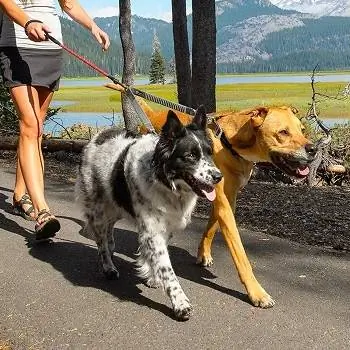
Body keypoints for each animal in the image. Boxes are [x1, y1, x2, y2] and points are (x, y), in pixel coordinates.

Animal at [76, 106, 223, 320]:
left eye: (209, 153)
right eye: (190, 156)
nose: (219, 177)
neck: (165, 182)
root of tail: (98, 136)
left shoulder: (164, 227)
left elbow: (155, 257)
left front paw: (152, 276)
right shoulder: (152, 229)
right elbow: (167, 269)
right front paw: (180, 303)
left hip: (116, 205)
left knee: (109, 231)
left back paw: (111, 248)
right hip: (99, 209)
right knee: (101, 240)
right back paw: (108, 267)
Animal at [106, 85, 314, 308]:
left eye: (302, 130)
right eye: (283, 132)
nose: (313, 149)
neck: (230, 143)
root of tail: (153, 114)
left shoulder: (225, 199)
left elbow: (211, 227)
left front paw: (203, 253)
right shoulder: (223, 202)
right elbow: (240, 255)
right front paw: (256, 292)